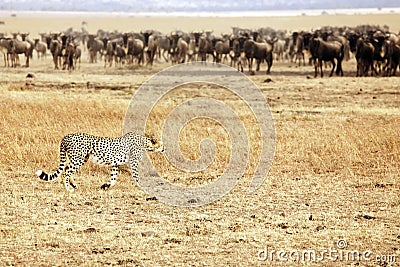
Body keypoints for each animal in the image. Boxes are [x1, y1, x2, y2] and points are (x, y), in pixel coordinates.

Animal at [35, 132, 164, 193]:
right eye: (161, 144)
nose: (164, 148)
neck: (144, 142)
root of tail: (66, 136)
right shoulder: (133, 162)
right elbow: (136, 176)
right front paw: (141, 186)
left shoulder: (115, 164)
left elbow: (113, 179)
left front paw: (105, 186)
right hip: (78, 159)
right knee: (65, 173)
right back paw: (68, 189)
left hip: (80, 159)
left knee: (66, 169)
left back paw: (74, 185)